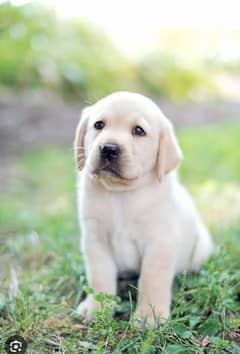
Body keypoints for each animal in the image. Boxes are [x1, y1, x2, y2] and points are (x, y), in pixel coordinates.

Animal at [74, 91, 213, 326]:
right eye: (99, 125)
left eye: (138, 131)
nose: (108, 148)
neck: (121, 195)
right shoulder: (95, 241)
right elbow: (99, 278)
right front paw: (96, 309)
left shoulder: (159, 243)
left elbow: (151, 279)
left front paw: (149, 316)